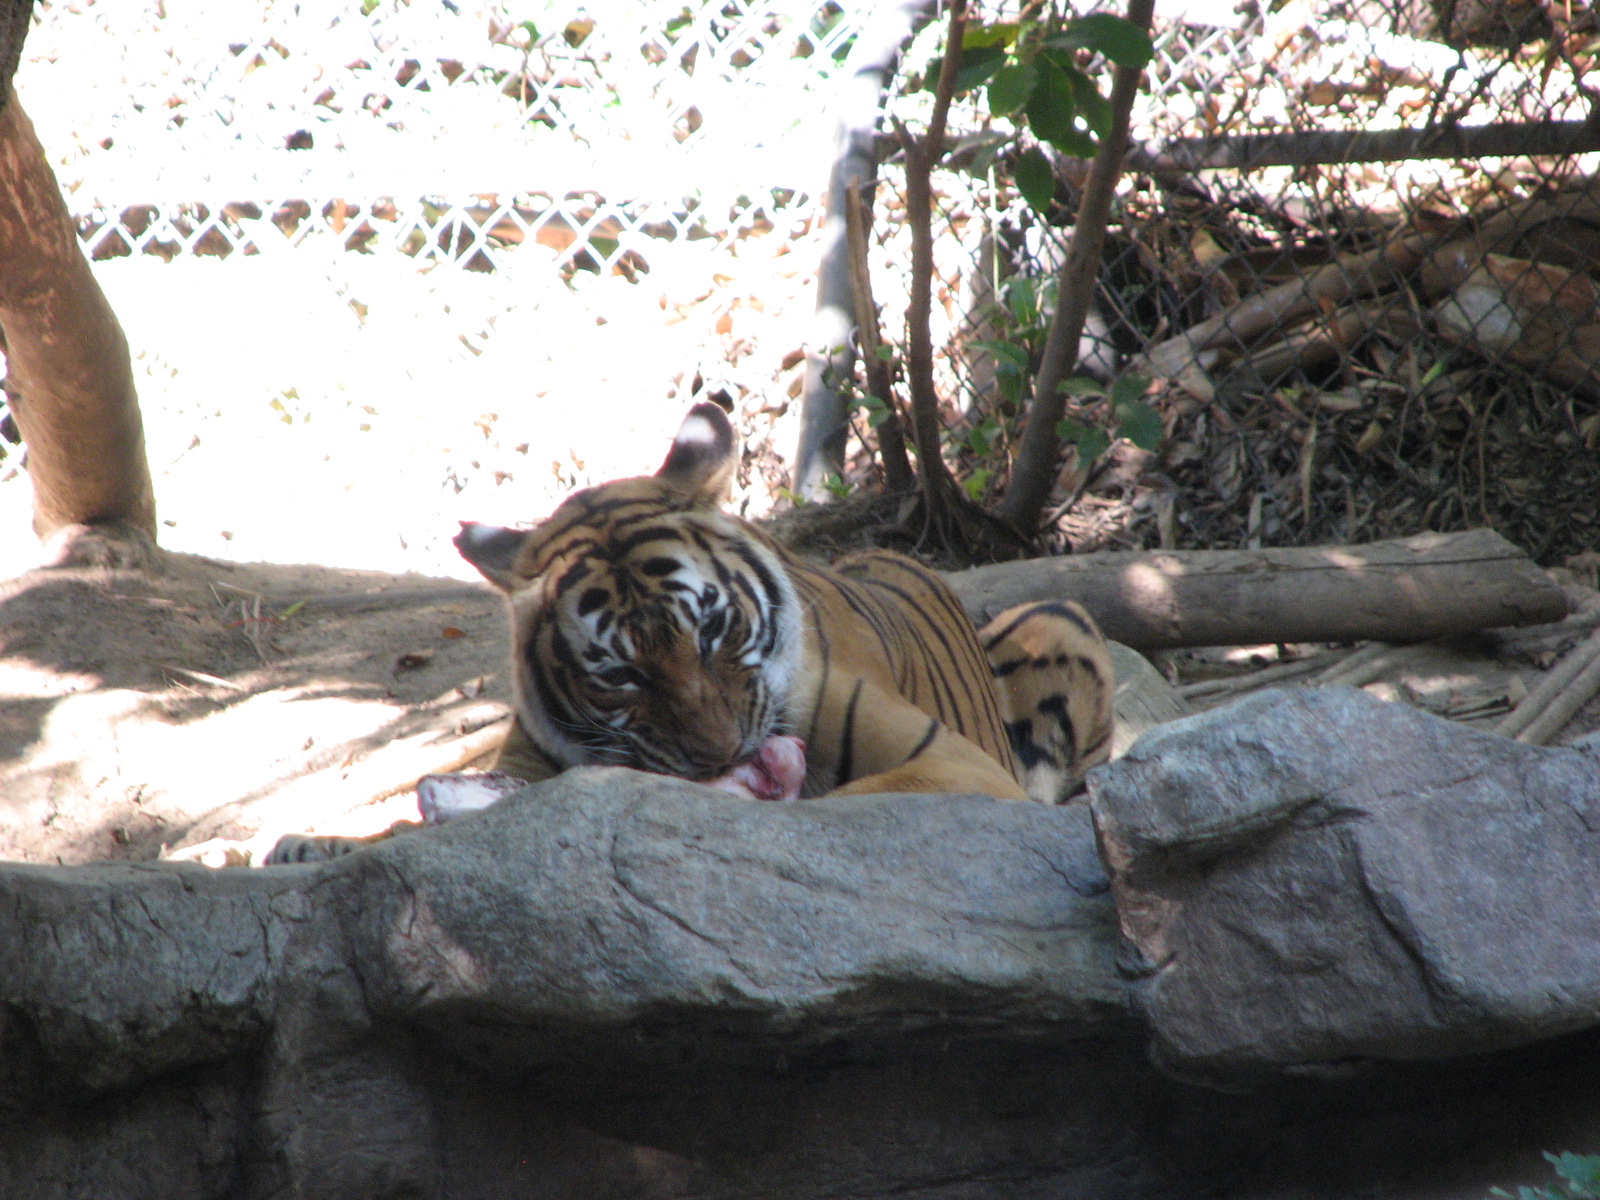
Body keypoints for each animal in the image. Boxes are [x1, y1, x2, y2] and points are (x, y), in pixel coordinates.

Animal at [266, 402, 1112, 863]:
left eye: (711, 633)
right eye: (620, 675)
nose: (718, 755)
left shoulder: (953, 765)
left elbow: (831, 803)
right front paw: (318, 844)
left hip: (1061, 619)